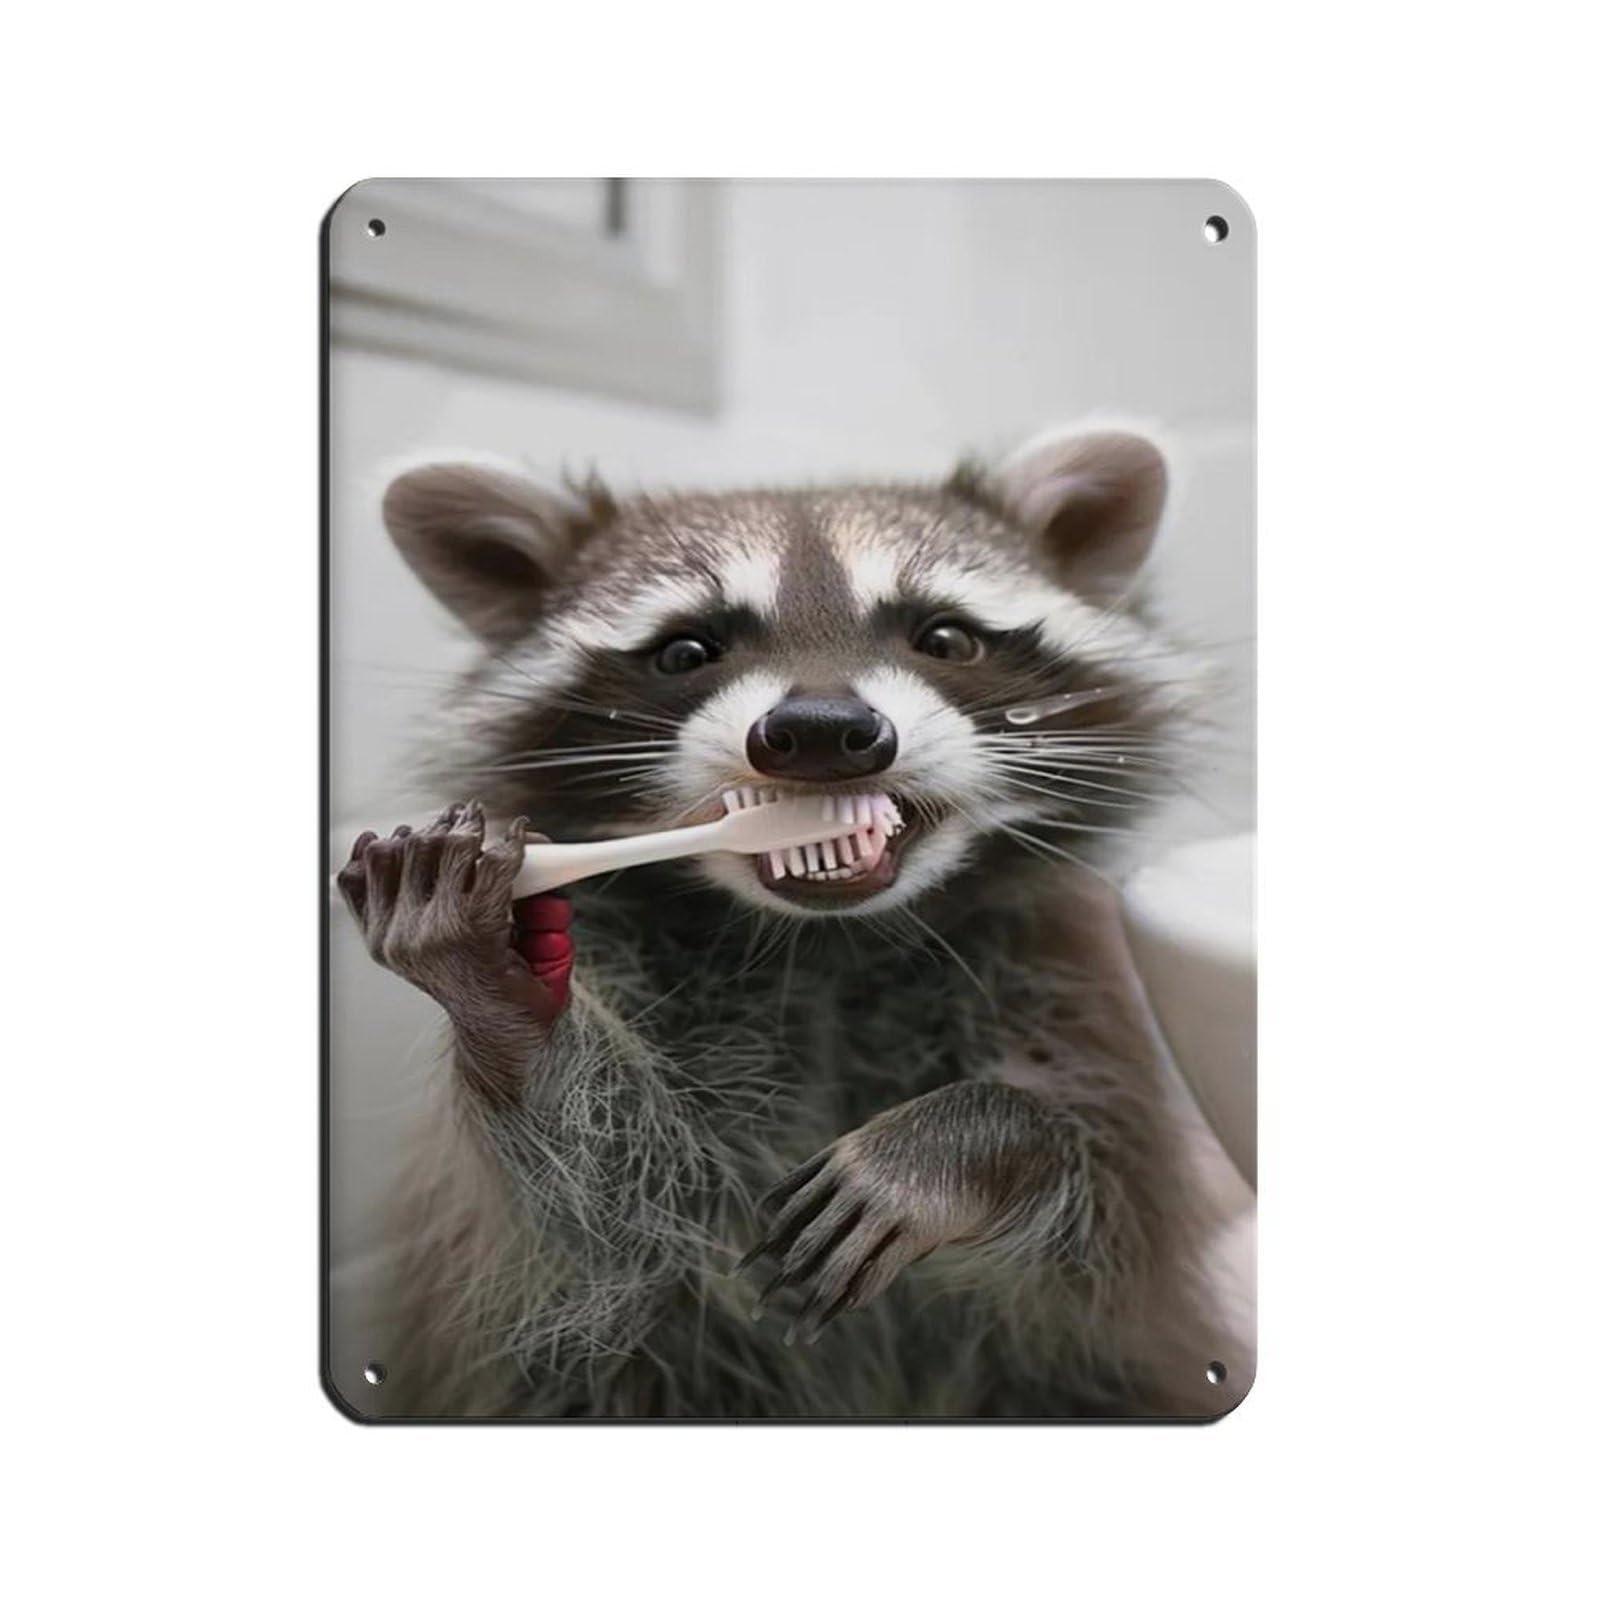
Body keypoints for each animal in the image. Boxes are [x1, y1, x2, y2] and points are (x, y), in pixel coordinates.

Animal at [336, 426, 1250, 1419]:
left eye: (945, 637)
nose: (819, 729)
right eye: (686, 651)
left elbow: (1101, 1226)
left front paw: (973, 1140)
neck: (828, 943)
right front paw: (506, 1010)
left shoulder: (1069, 991)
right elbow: (605, 1217)